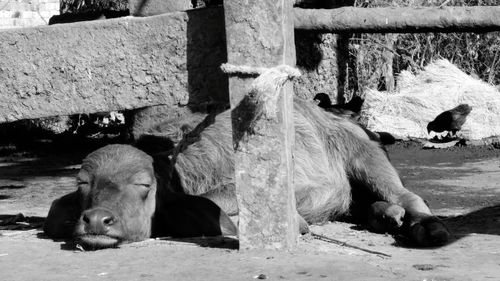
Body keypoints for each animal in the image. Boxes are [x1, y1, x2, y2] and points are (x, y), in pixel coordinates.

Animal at [44, 98, 450, 247]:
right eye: (83, 183)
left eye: (143, 184)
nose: (98, 219)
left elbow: (216, 202)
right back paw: (386, 216)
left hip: (364, 154)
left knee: (406, 194)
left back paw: (424, 226)